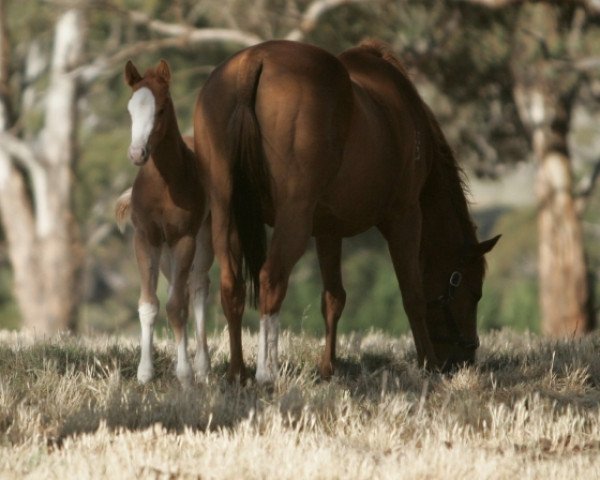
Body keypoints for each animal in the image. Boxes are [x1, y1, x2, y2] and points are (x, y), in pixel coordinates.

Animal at [122, 59, 213, 386]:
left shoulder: (184, 238)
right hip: (165, 254)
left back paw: (202, 367)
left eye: (160, 109)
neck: (163, 185)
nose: (137, 153)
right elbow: (149, 304)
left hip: (205, 239)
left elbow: (176, 306)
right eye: (130, 109)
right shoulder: (146, 239)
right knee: (181, 287)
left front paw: (185, 374)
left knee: (197, 287)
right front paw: (145, 374)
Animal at [195, 40, 500, 382]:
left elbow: (334, 297)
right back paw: (266, 371)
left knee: (231, 285)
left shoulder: (328, 230)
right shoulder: (405, 216)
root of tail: (254, 61)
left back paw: (238, 372)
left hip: (225, 212)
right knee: (271, 282)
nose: (463, 360)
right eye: (473, 292)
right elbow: (413, 294)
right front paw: (428, 364)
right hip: (293, 219)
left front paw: (328, 367)